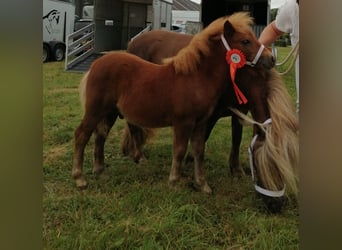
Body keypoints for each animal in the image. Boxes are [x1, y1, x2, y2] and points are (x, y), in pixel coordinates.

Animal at [123, 29, 248, 178]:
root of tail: (133, 42)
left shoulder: (239, 113)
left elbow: (237, 138)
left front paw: (237, 170)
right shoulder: (210, 115)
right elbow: (203, 138)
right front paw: (189, 162)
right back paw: (139, 156)